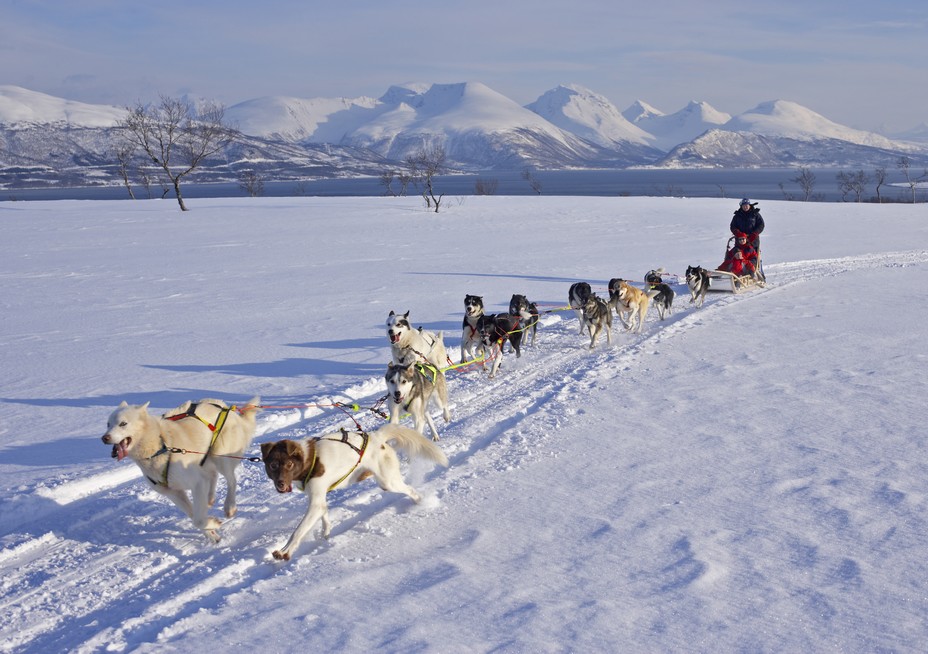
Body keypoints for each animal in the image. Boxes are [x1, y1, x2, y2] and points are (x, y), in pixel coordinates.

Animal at [101, 400, 260, 544]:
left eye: (123, 423)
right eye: (108, 424)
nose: (104, 438)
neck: (160, 447)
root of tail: (224, 407)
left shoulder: (196, 483)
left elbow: (198, 519)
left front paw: (212, 524)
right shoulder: (173, 493)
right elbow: (193, 516)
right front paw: (211, 533)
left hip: (221, 458)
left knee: (231, 480)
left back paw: (229, 506)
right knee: (212, 476)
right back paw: (209, 498)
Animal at [260, 426, 450, 564]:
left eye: (289, 464)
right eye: (273, 465)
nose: (280, 484)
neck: (309, 459)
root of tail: (377, 436)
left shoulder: (315, 502)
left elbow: (298, 531)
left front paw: (284, 551)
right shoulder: (317, 499)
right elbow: (324, 515)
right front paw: (326, 535)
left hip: (387, 482)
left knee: (410, 490)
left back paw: (421, 502)